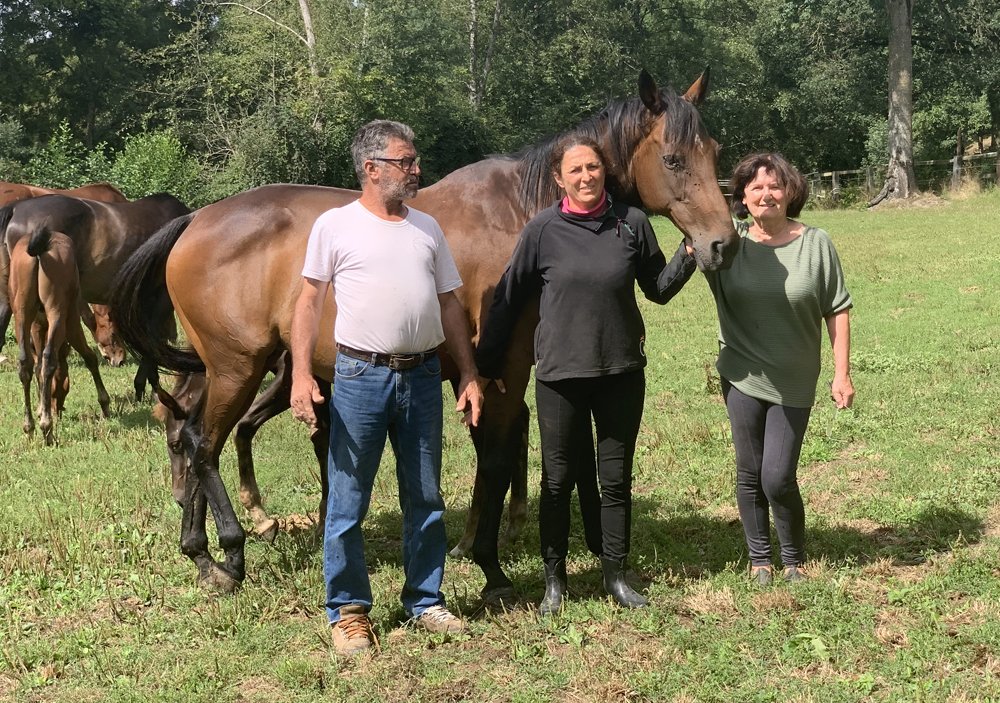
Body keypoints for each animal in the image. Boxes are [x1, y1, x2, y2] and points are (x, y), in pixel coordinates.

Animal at [110, 70, 739, 598]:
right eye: (674, 158)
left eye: (714, 154)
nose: (721, 243)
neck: (519, 215)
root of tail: (197, 219)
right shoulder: (501, 369)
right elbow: (496, 455)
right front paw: (486, 560)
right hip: (238, 367)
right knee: (202, 444)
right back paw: (230, 553)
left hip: (227, 369)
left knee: (190, 433)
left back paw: (199, 552)